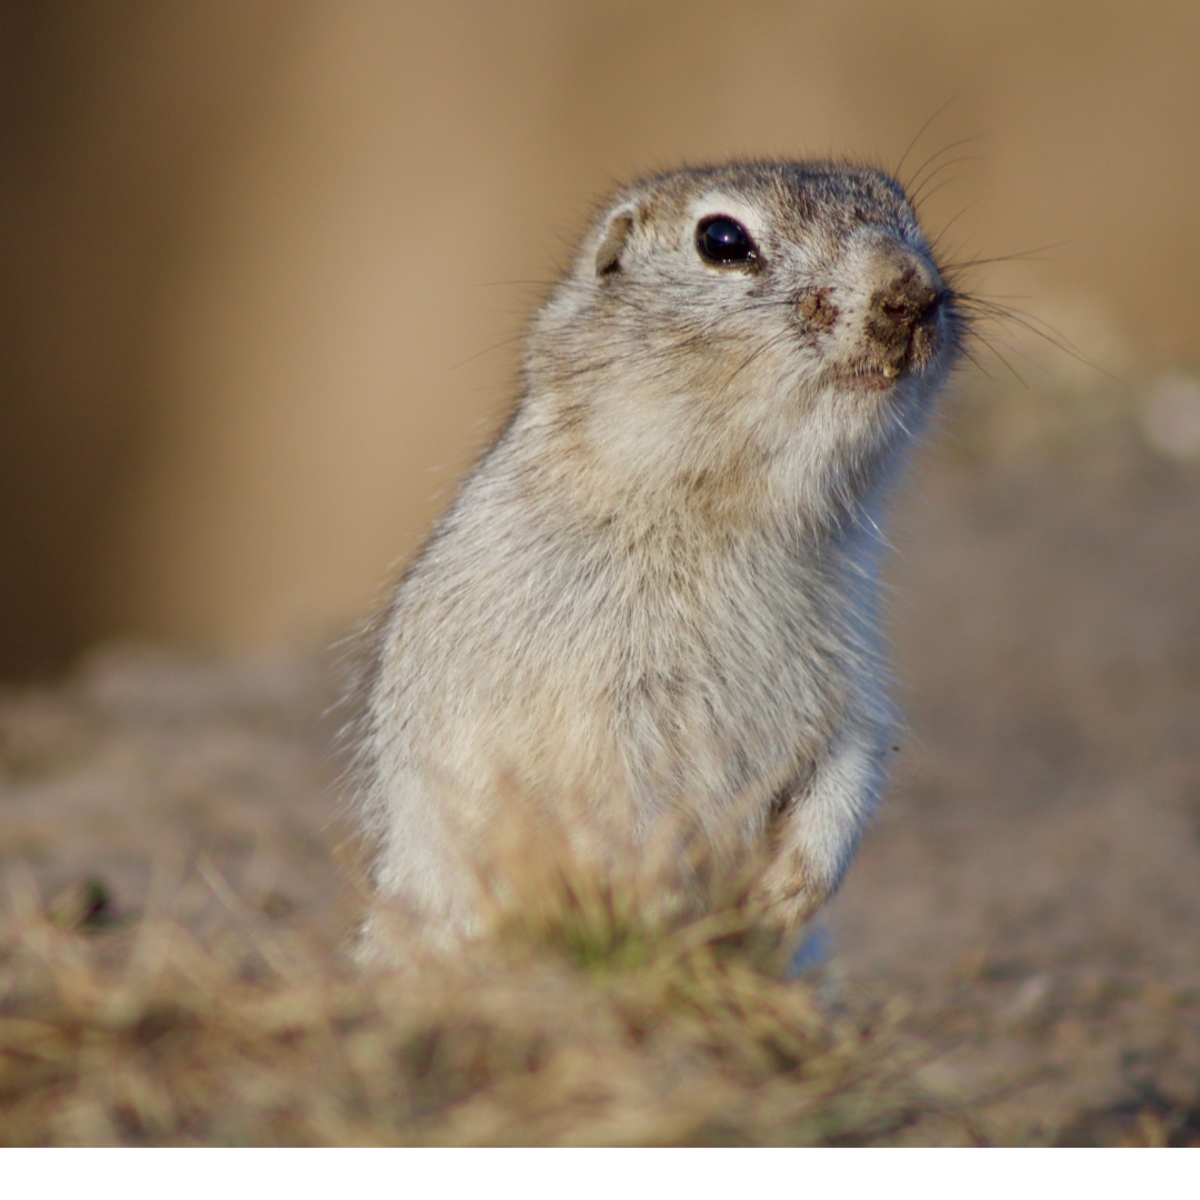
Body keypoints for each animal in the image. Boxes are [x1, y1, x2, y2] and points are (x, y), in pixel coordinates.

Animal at [352, 162, 964, 964]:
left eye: (905, 210)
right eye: (722, 240)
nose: (912, 289)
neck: (734, 518)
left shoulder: (855, 676)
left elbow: (852, 766)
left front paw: (787, 893)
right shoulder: (593, 694)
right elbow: (620, 806)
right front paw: (669, 903)